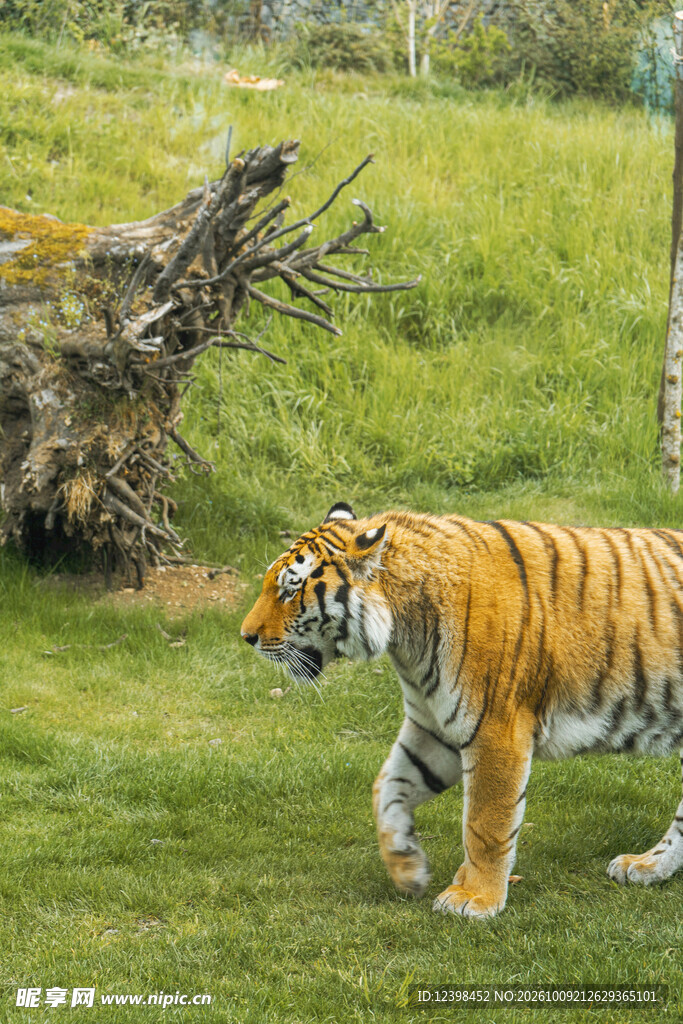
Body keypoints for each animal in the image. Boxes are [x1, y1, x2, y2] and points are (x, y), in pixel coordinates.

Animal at [240, 502, 683, 918]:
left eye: (289, 591)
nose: (246, 637)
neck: (405, 637)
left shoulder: (496, 729)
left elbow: (485, 823)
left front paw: (476, 898)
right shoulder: (432, 726)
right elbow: (387, 787)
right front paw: (406, 866)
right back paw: (647, 867)